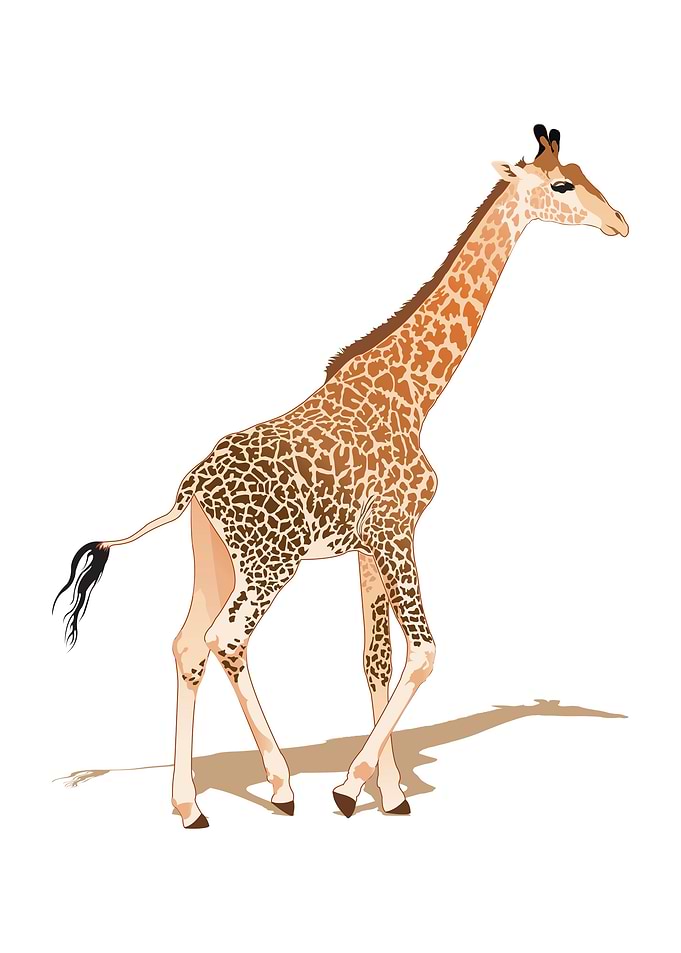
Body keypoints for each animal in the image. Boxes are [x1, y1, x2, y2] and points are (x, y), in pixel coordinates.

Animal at [54, 125, 628, 826]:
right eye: (562, 184)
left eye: (582, 171)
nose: (621, 223)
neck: (415, 392)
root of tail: (189, 489)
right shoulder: (398, 531)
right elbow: (424, 653)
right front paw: (351, 787)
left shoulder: (369, 546)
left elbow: (375, 661)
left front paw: (393, 794)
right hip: (271, 562)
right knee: (226, 641)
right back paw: (277, 786)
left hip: (215, 555)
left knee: (187, 644)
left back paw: (190, 804)